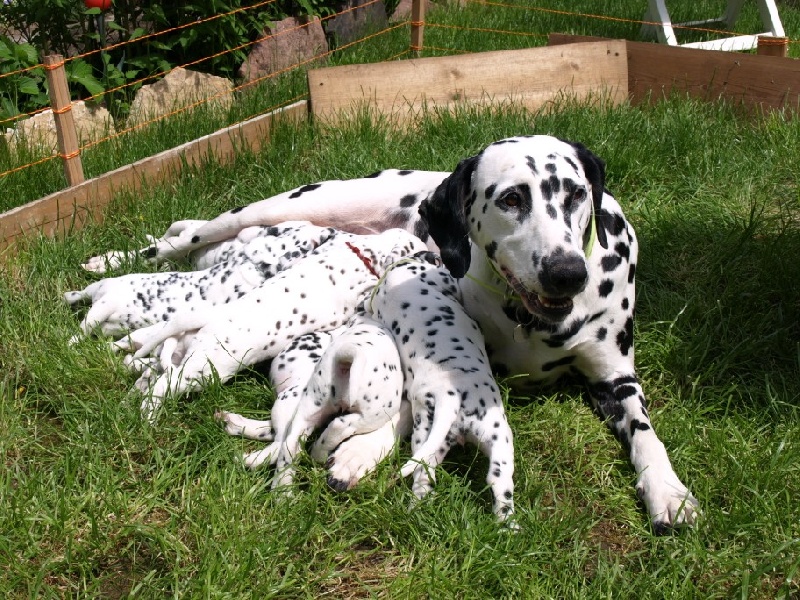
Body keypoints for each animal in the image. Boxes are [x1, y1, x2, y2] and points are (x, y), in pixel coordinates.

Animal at [65, 221, 334, 344]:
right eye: (309, 241)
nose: (328, 229)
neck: (250, 263)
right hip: (103, 305)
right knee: (82, 329)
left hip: (100, 296)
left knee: (80, 300)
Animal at [111, 229, 432, 422]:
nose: (434, 255)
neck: (358, 252)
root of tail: (208, 321)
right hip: (201, 371)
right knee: (164, 385)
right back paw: (149, 414)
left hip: (182, 356)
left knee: (155, 375)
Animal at [368, 251, 512, 524]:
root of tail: (449, 397)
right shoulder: (445, 280)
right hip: (499, 435)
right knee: (501, 487)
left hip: (431, 438)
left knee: (425, 477)